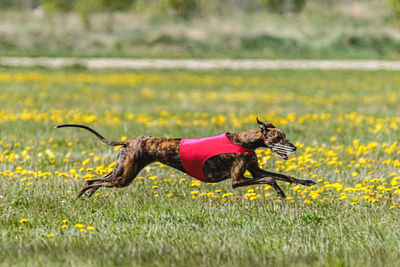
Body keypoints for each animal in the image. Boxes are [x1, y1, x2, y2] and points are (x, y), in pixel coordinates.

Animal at [56, 119, 316, 199]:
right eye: (280, 137)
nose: (294, 147)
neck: (244, 141)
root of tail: (130, 141)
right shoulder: (237, 180)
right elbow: (271, 180)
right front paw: (281, 195)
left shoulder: (255, 171)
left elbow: (282, 176)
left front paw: (305, 182)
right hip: (124, 176)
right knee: (91, 181)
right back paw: (79, 197)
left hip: (121, 170)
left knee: (96, 180)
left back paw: (86, 195)